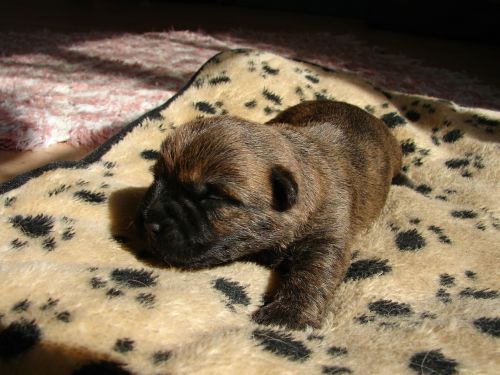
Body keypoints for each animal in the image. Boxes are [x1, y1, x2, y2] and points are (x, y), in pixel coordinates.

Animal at [137, 101, 402, 330]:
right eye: (157, 178)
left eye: (212, 197)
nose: (149, 223)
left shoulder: (326, 236)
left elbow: (314, 274)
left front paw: (288, 315)